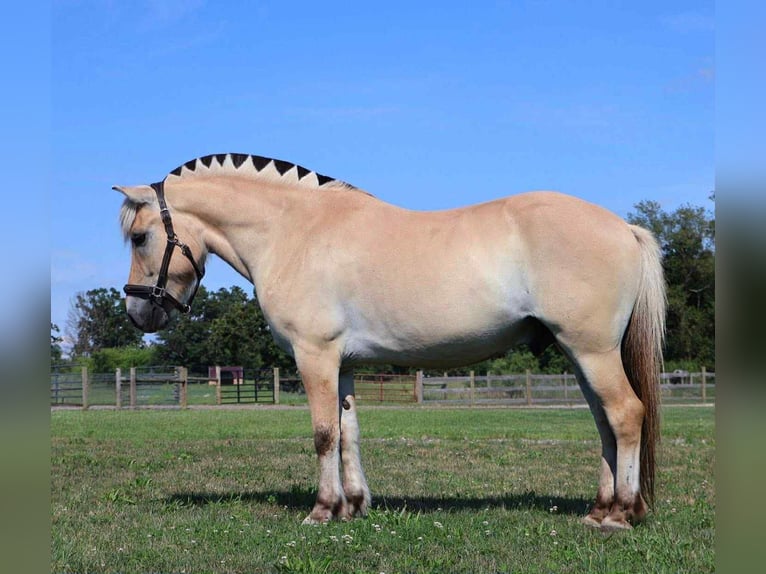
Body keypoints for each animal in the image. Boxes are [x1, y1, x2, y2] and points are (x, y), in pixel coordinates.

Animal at [114, 153, 665, 531]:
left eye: (139, 237)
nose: (139, 313)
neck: (294, 231)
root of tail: (624, 228)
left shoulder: (314, 355)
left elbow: (323, 433)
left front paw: (321, 511)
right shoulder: (343, 363)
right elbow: (349, 431)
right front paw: (354, 505)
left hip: (591, 351)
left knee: (625, 414)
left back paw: (619, 515)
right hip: (580, 354)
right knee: (604, 423)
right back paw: (599, 509)